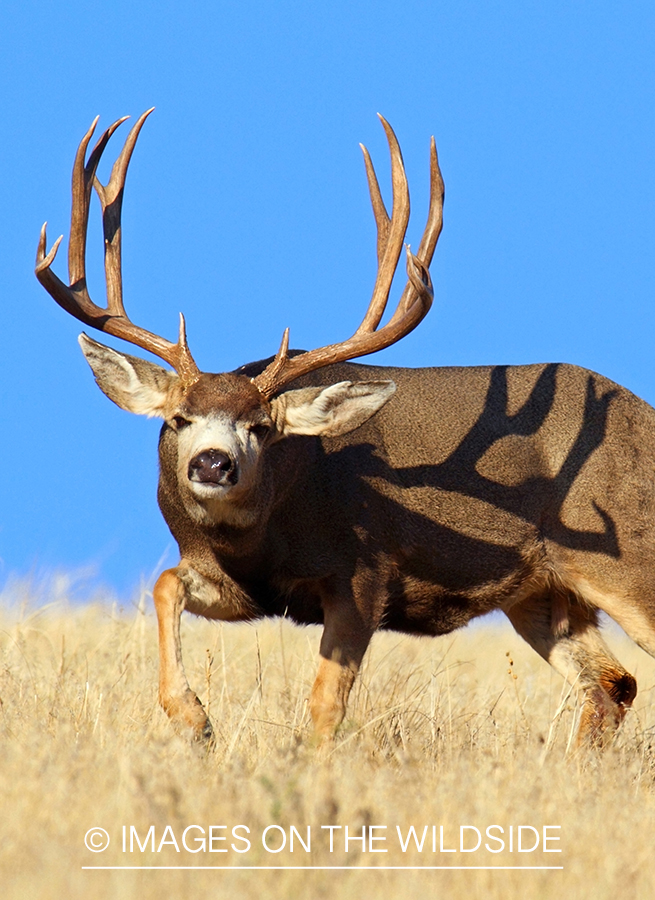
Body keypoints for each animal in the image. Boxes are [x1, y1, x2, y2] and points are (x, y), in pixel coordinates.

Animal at [37, 109, 655, 748]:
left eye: (262, 427)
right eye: (178, 418)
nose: (212, 462)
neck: (265, 534)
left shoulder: (364, 573)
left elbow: (326, 703)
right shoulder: (239, 586)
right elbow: (163, 584)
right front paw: (194, 717)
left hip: (631, 559)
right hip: (542, 590)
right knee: (612, 684)